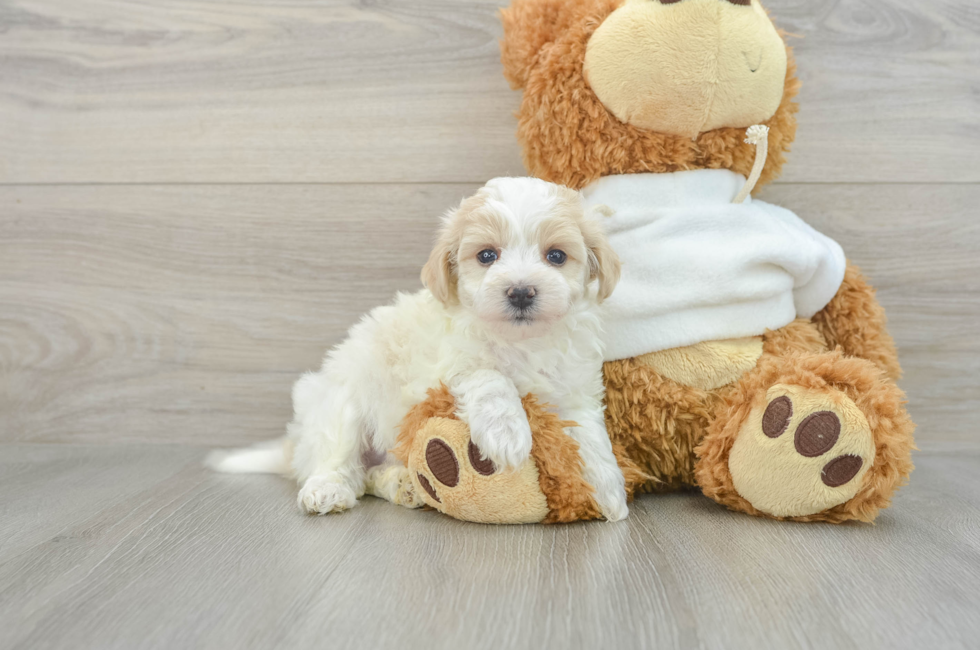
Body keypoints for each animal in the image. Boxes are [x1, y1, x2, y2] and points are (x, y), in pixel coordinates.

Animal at [207, 178, 628, 520]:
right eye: (487, 255)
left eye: (556, 256)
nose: (521, 291)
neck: (521, 341)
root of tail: (296, 444)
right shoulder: (445, 368)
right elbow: (489, 378)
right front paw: (507, 433)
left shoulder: (574, 388)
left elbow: (589, 433)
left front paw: (609, 490)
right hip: (339, 401)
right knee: (339, 461)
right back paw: (328, 489)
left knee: (367, 477)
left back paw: (402, 484)